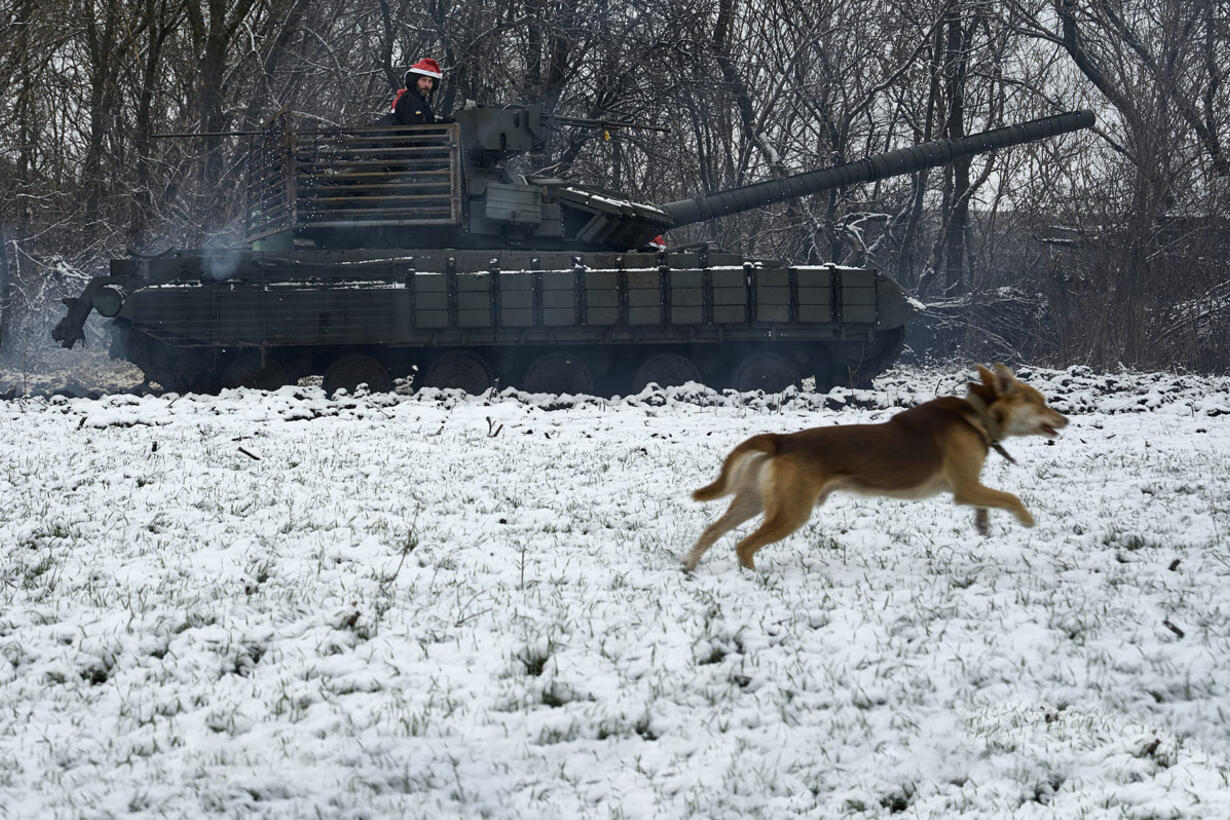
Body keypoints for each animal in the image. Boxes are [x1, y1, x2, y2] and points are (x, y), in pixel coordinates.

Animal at [683, 363, 1067, 570]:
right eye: (1041, 402)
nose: (1064, 419)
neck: (979, 414)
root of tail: (782, 440)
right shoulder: (965, 487)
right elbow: (1010, 498)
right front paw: (1026, 520)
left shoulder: (971, 489)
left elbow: (988, 503)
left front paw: (984, 524)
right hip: (792, 510)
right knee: (744, 545)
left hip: (755, 499)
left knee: (712, 530)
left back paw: (689, 565)